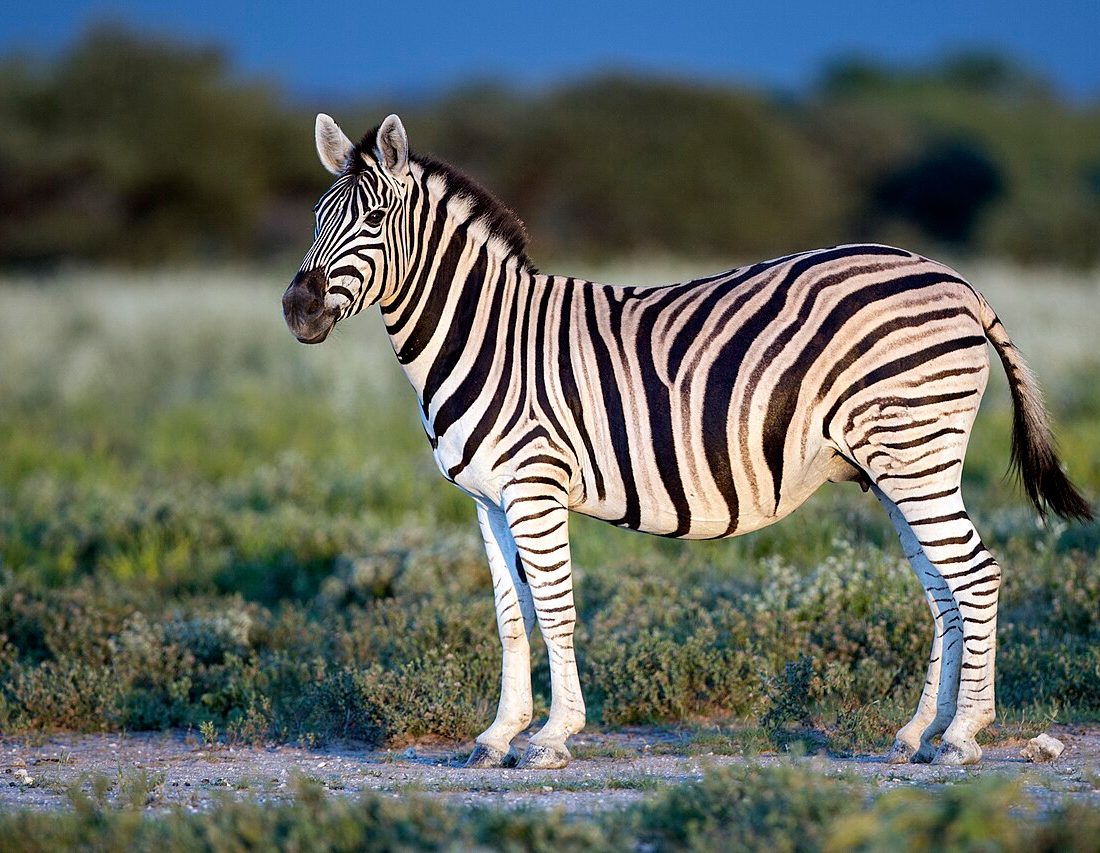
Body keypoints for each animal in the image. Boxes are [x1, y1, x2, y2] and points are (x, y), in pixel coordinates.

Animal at [283, 113, 1092, 770]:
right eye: (317, 217)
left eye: (373, 219)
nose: (296, 309)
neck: (485, 334)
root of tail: (956, 280)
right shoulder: (486, 497)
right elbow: (512, 617)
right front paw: (497, 735)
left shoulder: (536, 485)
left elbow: (556, 608)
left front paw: (551, 738)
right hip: (899, 464)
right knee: (945, 591)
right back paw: (918, 732)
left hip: (915, 452)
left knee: (976, 574)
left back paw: (962, 737)